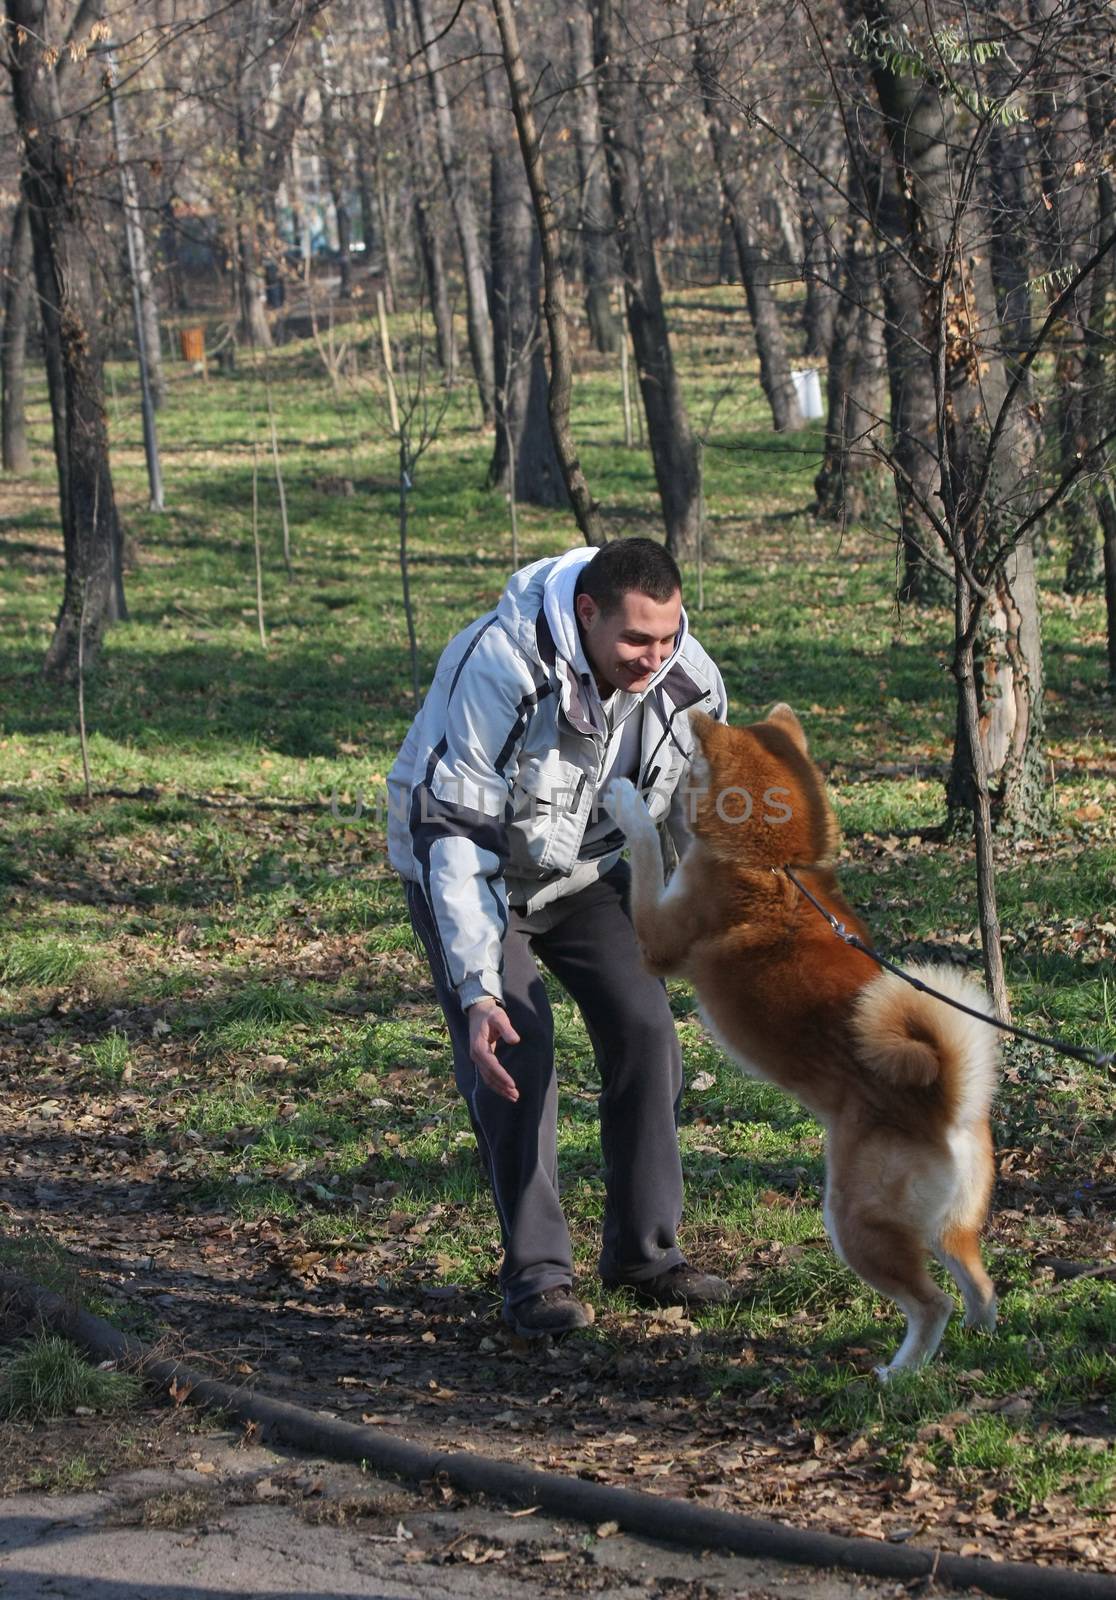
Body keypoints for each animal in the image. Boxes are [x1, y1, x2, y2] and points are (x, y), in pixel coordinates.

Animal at [607, 707, 997, 1382]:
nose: (682, 719)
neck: (775, 864)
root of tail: (945, 1102)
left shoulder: (658, 940)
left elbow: (650, 855)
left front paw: (630, 807)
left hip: (854, 1223)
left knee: (932, 1303)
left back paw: (899, 1372)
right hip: (950, 1227)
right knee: (979, 1284)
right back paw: (978, 1339)